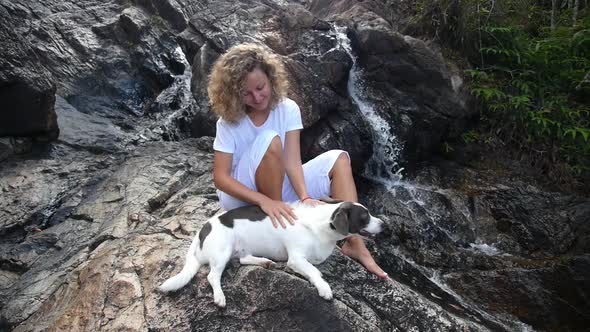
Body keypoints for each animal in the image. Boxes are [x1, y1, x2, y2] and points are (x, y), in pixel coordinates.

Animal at [160, 200, 386, 306]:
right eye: (365, 217)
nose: (384, 224)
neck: (323, 225)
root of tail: (202, 229)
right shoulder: (296, 259)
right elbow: (315, 272)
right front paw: (324, 288)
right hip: (222, 251)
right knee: (212, 276)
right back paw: (220, 297)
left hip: (240, 249)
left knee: (243, 259)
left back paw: (264, 262)